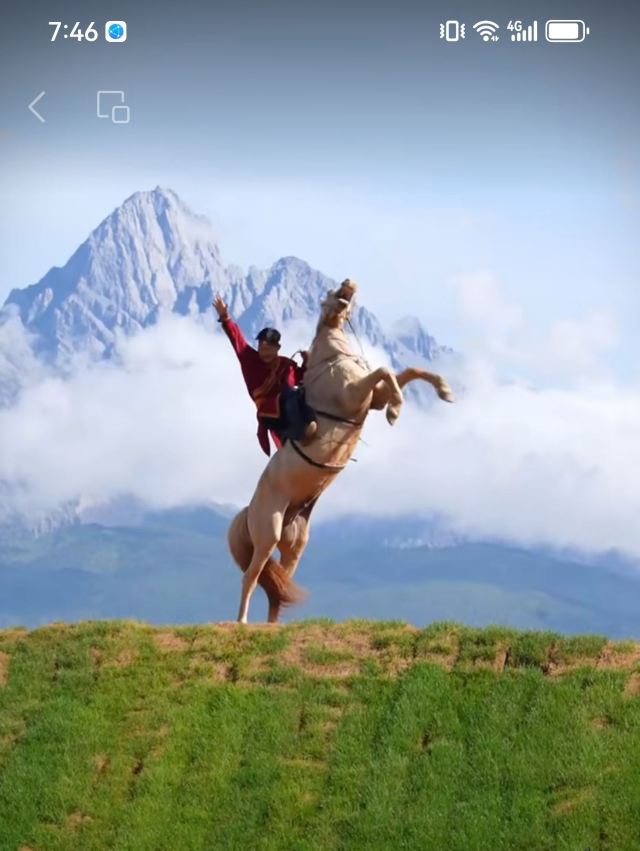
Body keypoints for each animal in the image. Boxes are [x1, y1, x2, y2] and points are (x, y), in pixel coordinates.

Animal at [227, 279, 453, 623]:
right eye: (329, 296)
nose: (349, 283)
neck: (332, 357)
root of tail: (248, 511)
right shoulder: (355, 395)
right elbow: (386, 371)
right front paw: (396, 411)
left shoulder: (370, 398)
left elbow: (407, 372)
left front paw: (444, 390)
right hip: (268, 533)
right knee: (251, 577)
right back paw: (241, 622)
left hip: (294, 545)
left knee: (277, 588)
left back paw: (273, 625)